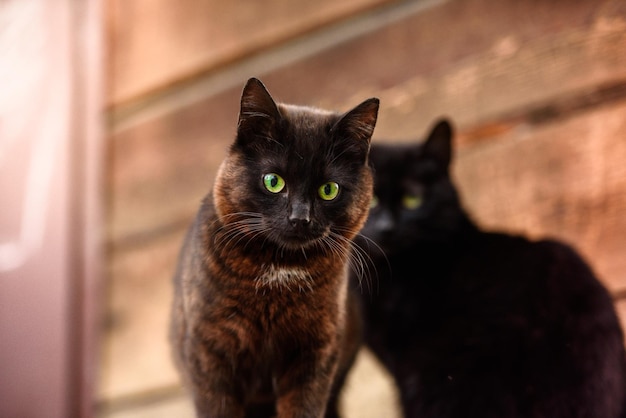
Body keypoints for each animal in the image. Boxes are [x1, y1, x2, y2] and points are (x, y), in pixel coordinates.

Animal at [168, 79, 378, 418]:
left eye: (329, 189)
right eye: (273, 181)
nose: (300, 217)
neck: (278, 271)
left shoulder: (315, 352)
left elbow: (303, 408)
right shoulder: (210, 351)